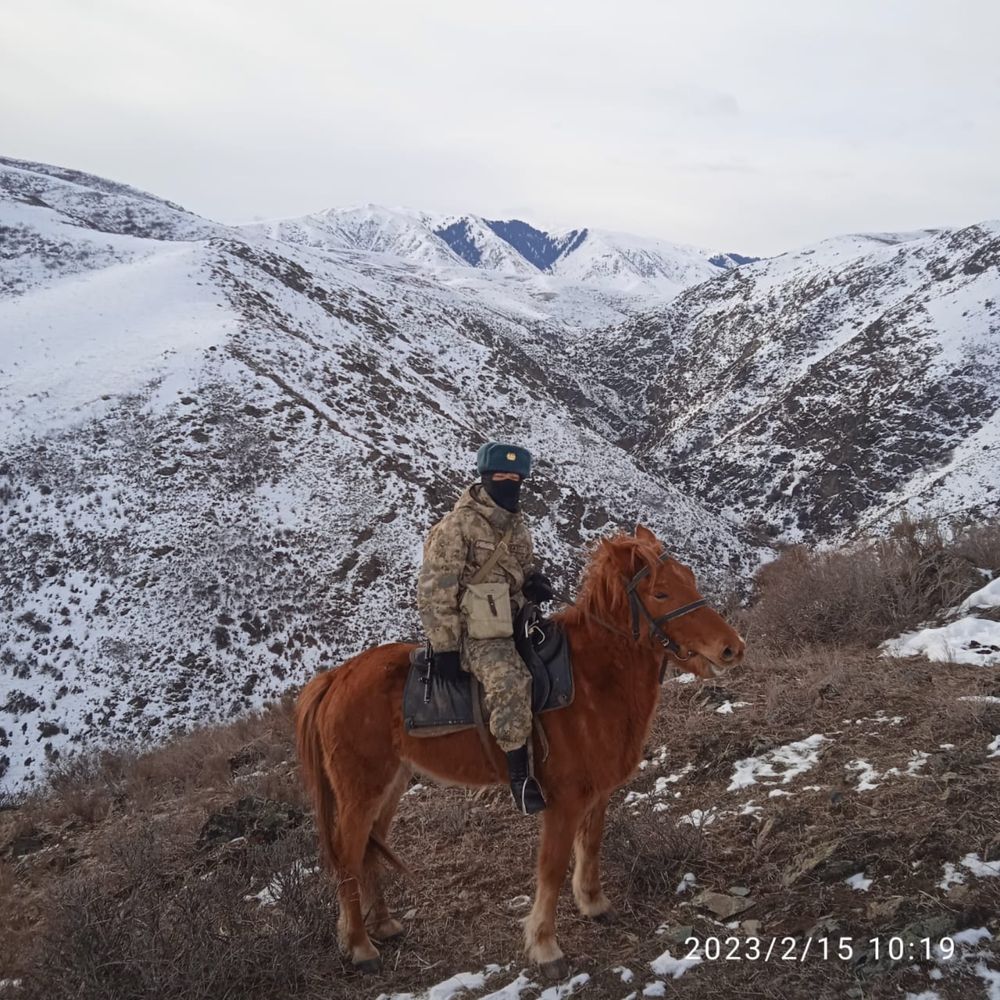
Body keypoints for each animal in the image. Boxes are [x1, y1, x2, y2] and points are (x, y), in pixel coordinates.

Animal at [292, 524, 748, 976]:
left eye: (689, 578)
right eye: (661, 594)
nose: (732, 648)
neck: (592, 678)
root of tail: (335, 678)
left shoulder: (597, 794)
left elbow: (591, 846)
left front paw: (594, 904)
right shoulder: (564, 801)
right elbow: (551, 868)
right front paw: (545, 946)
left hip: (391, 785)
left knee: (368, 854)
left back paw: (384, 925)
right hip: (359, 793)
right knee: (347, 859)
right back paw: (360, 945)